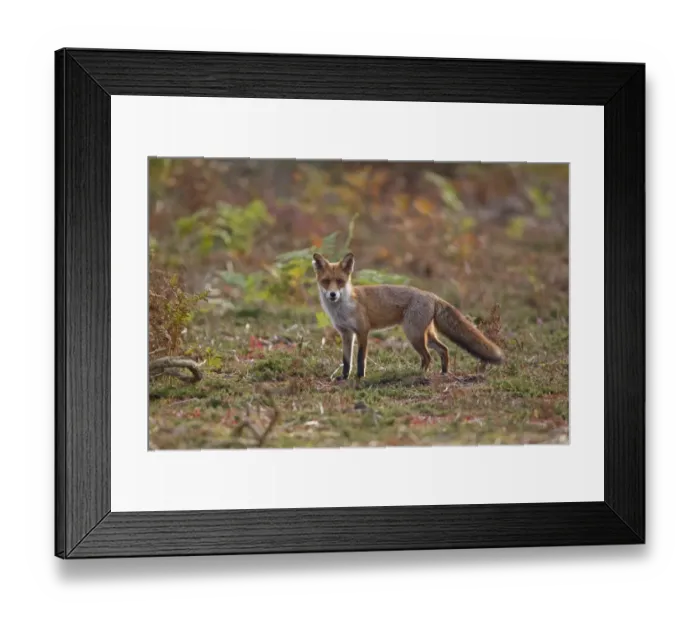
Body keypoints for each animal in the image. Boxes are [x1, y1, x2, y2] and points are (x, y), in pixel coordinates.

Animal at [312, 252, 504, 380]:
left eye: (340, 282)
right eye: (326, 282)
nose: (333, 295)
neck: (343, 308)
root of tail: (431, 295)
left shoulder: (363, 331)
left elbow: (360, 359)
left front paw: (360, 377)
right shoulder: (346, 334)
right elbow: (346, 360)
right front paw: (344, 377)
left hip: (413, 335)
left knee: (428, 357)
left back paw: (418, 375)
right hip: (425, 335)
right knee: (444, 350)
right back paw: (443, 373)